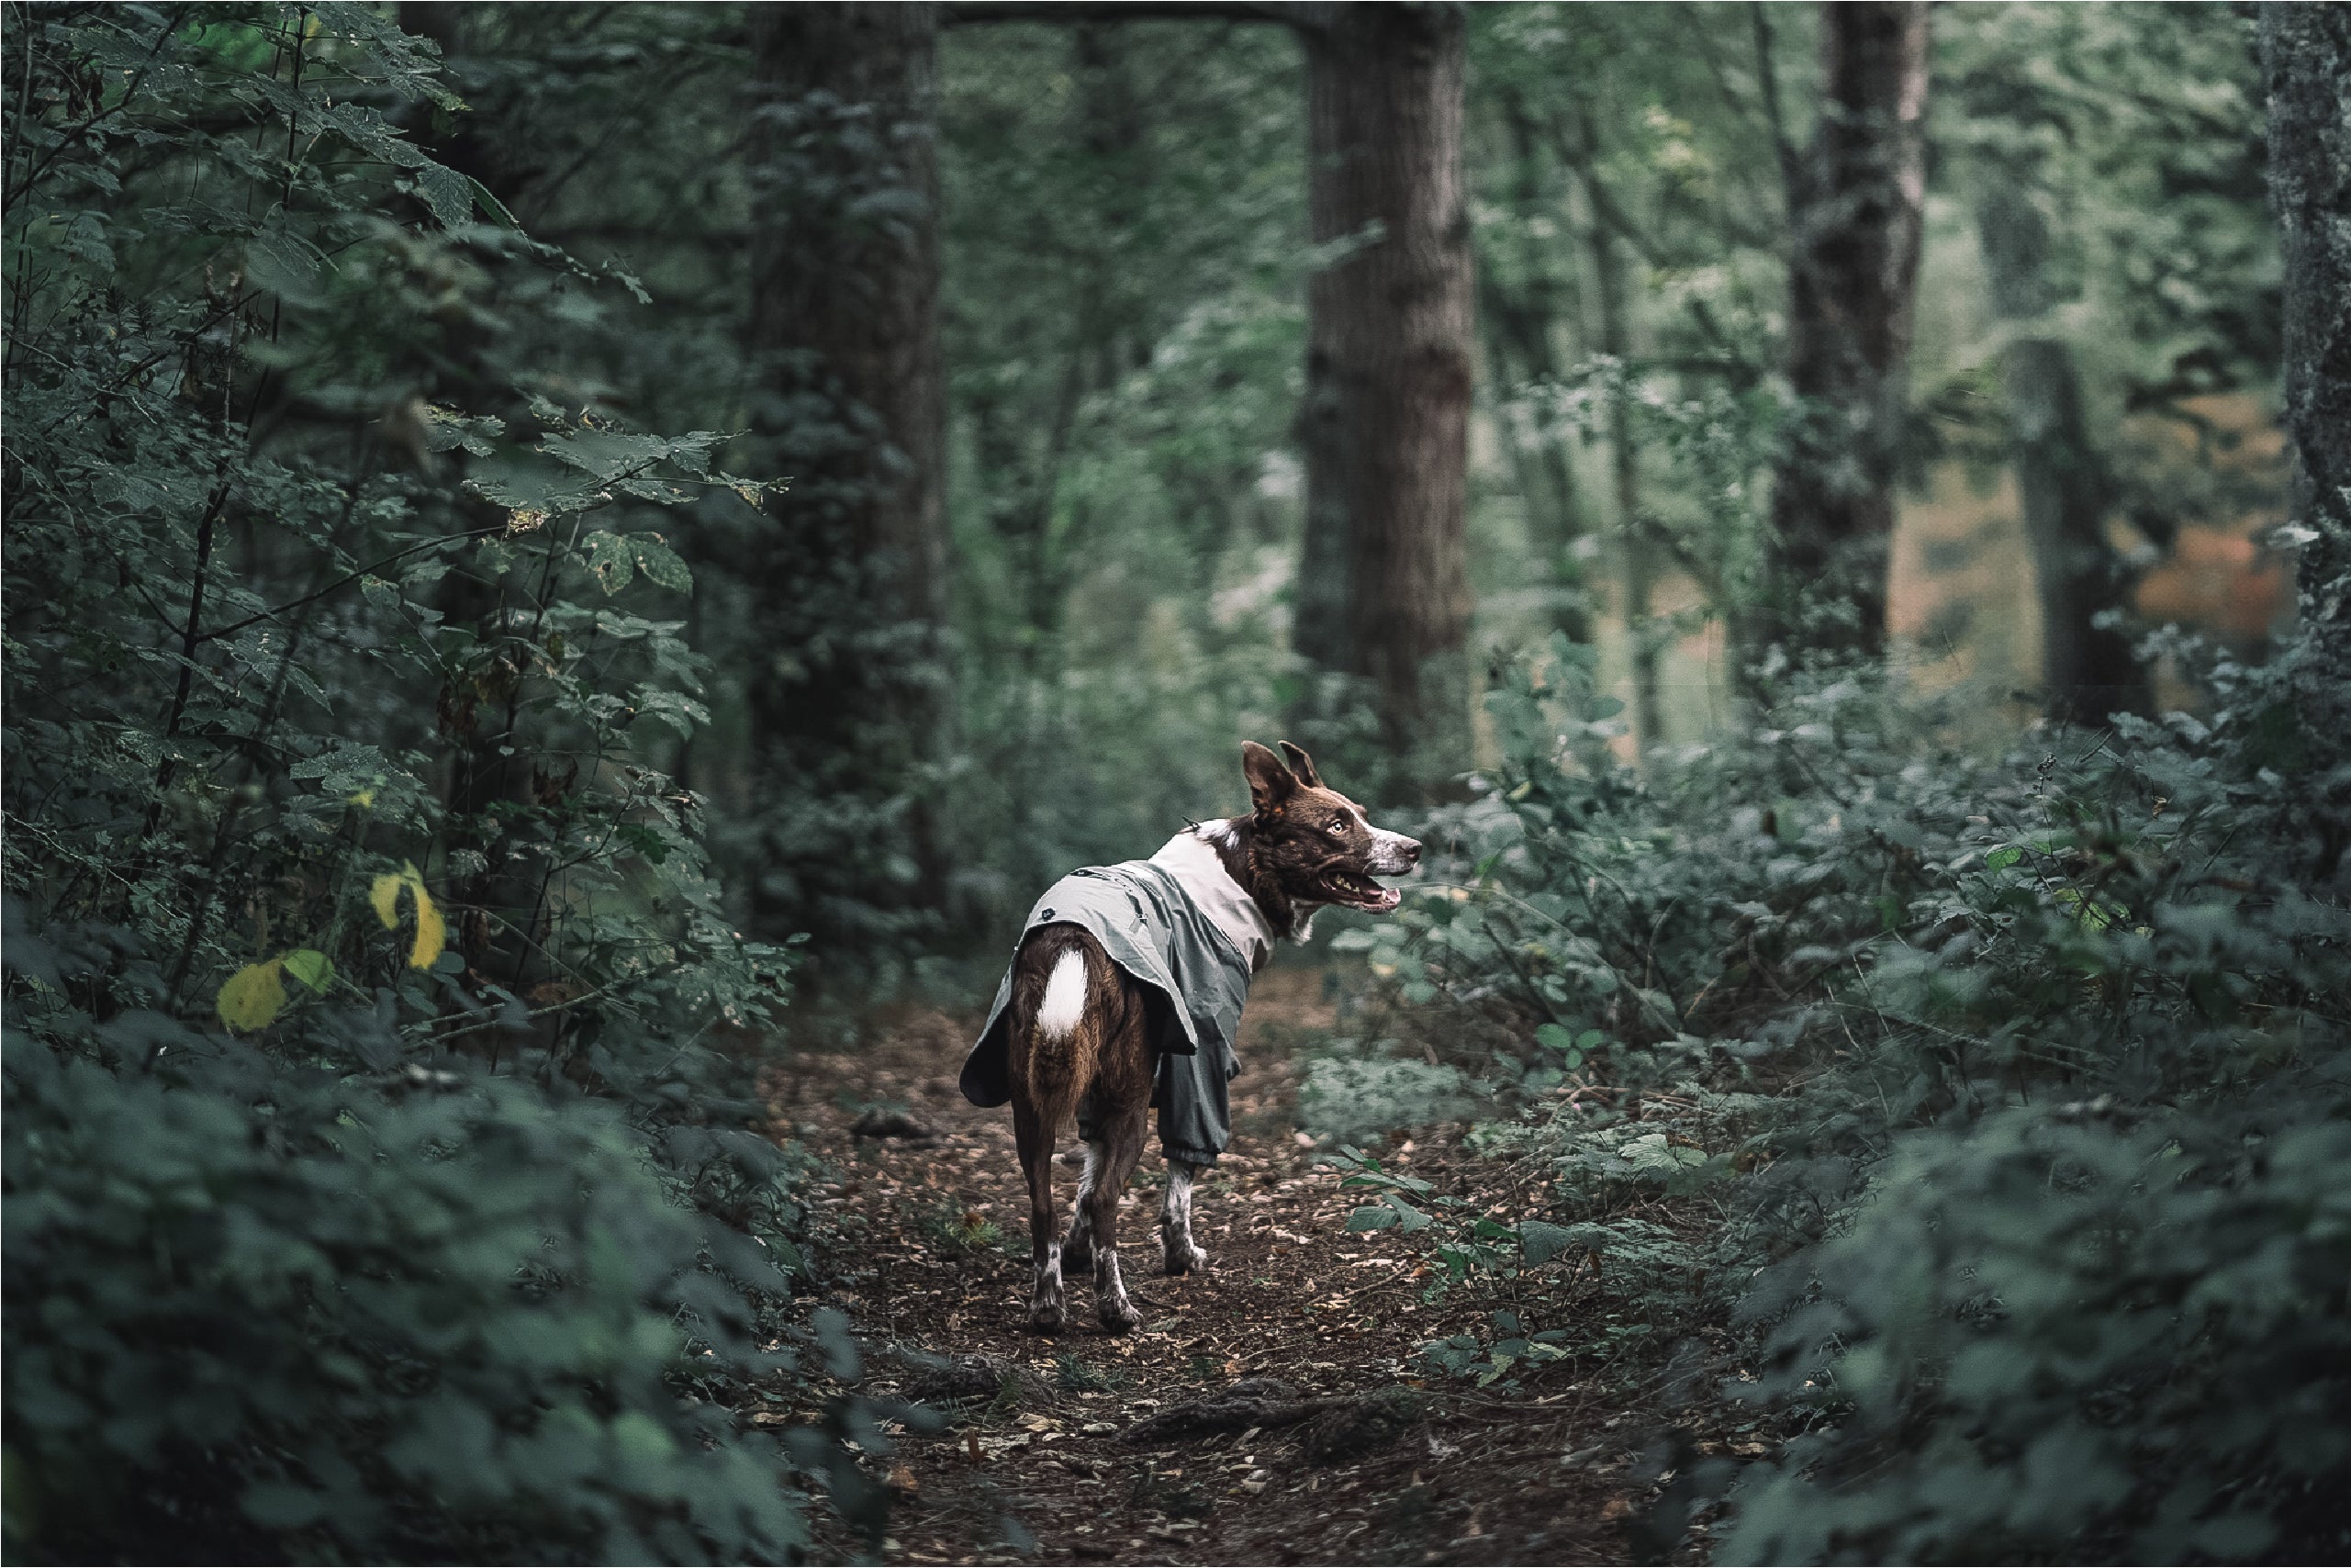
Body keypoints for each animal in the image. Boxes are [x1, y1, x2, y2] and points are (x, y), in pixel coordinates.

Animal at [949, 743, 1410, 1335]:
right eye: (1335, 825)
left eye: (1361, 814)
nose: (1415, 849)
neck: (1241, 875)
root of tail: (1072, 936)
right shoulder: (1201, 1064)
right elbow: (1180, 1179)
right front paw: (1181, 1256)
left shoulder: (1097, 1097)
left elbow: (1083, 1186)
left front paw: (1075, 1254)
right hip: (1129, 1100)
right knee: (1106, 1202)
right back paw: (1115, 1307)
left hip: (1032, 1104)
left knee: (1044, 1203)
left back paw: (1048, 1306)